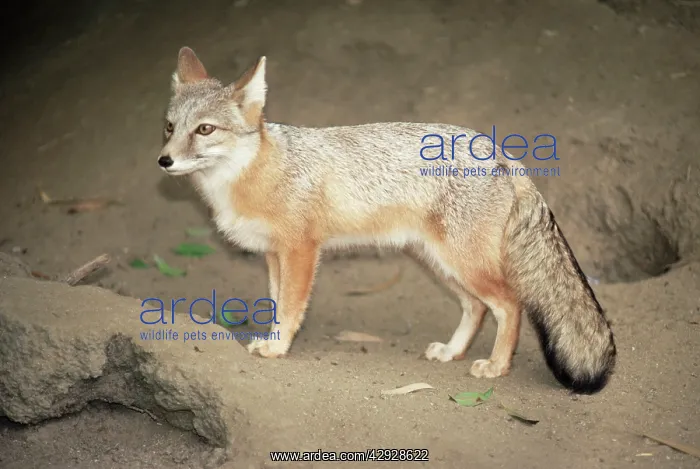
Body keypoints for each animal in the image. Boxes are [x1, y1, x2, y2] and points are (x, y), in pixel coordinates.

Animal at [157, 47, 617, 394]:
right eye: (169, 127)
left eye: (205, 130)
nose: (164, 161)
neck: (254, 173)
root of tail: (498, 150)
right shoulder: (273, 256)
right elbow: (275, 303)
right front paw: (273, 339)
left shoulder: (300, 251)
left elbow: (289, 307)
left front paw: (277, 347)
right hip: (441, 263)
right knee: (476, 307)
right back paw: (452, 352)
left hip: (464, 263)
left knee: (509, 304)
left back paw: (496, 366)